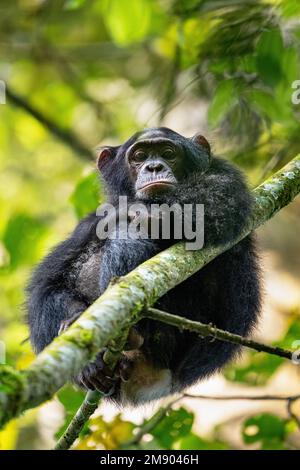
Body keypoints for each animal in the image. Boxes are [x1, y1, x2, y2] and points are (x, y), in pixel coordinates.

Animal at [27, 127, 260, 404]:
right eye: (139, 156)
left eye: (168, 153)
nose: (154, 166)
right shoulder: (84, 227)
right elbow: (49, 284)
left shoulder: (226, 174)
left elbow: (215, 199)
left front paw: (143, 214)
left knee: (128, 233)